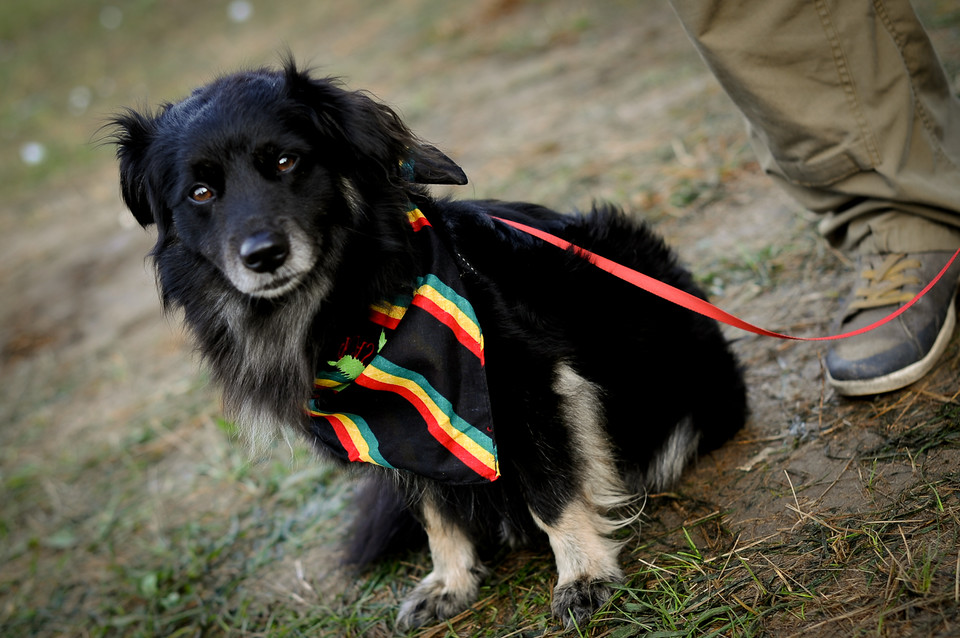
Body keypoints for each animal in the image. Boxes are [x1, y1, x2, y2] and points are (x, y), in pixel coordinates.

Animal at [110, 61, 744, 636]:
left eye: (287, 161)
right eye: (201, 192)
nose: (263, 255)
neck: (343, 305)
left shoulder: (530, 381)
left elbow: (553, 489)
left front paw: (584, 577)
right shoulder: (392, 425)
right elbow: (436, 508)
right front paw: (451, 581)